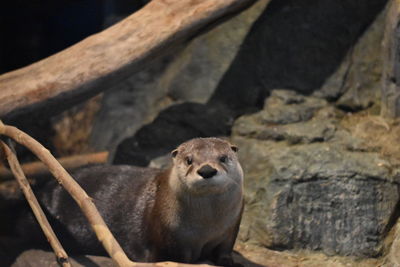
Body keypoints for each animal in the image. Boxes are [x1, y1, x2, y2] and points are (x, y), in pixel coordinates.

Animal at [13, 139, 244, 266]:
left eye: (223, 158)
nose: (207, 170)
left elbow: (225, 250)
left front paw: (230, 262)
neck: (207, 226)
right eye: (189, 160)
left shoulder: (231, 228)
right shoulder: (165, 237)